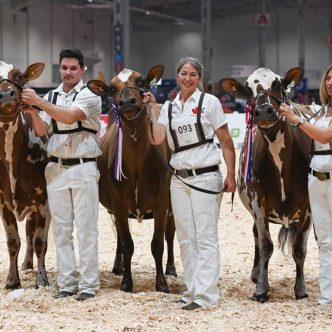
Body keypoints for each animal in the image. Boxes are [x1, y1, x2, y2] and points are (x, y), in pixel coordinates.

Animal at [87, 65, 176, 294]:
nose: (127, 101)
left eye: (142, 81)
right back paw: (118, 267)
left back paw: (171, 268)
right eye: (111, 88)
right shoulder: (118, 203)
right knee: (119, 235)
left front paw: (161, 282)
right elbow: (127, 243)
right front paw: (126, 282)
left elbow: (158, 243)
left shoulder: (162, 201)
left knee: (170, 234)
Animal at [219, 68, 316, 302]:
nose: (263, 112)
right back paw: (256, 274)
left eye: (278, 84)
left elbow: (299, 248)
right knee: (256, 235)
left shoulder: (308, 207)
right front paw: (261, 289)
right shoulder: (258, 202)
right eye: (246, 89)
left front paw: (301, 289)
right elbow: (265, 246)